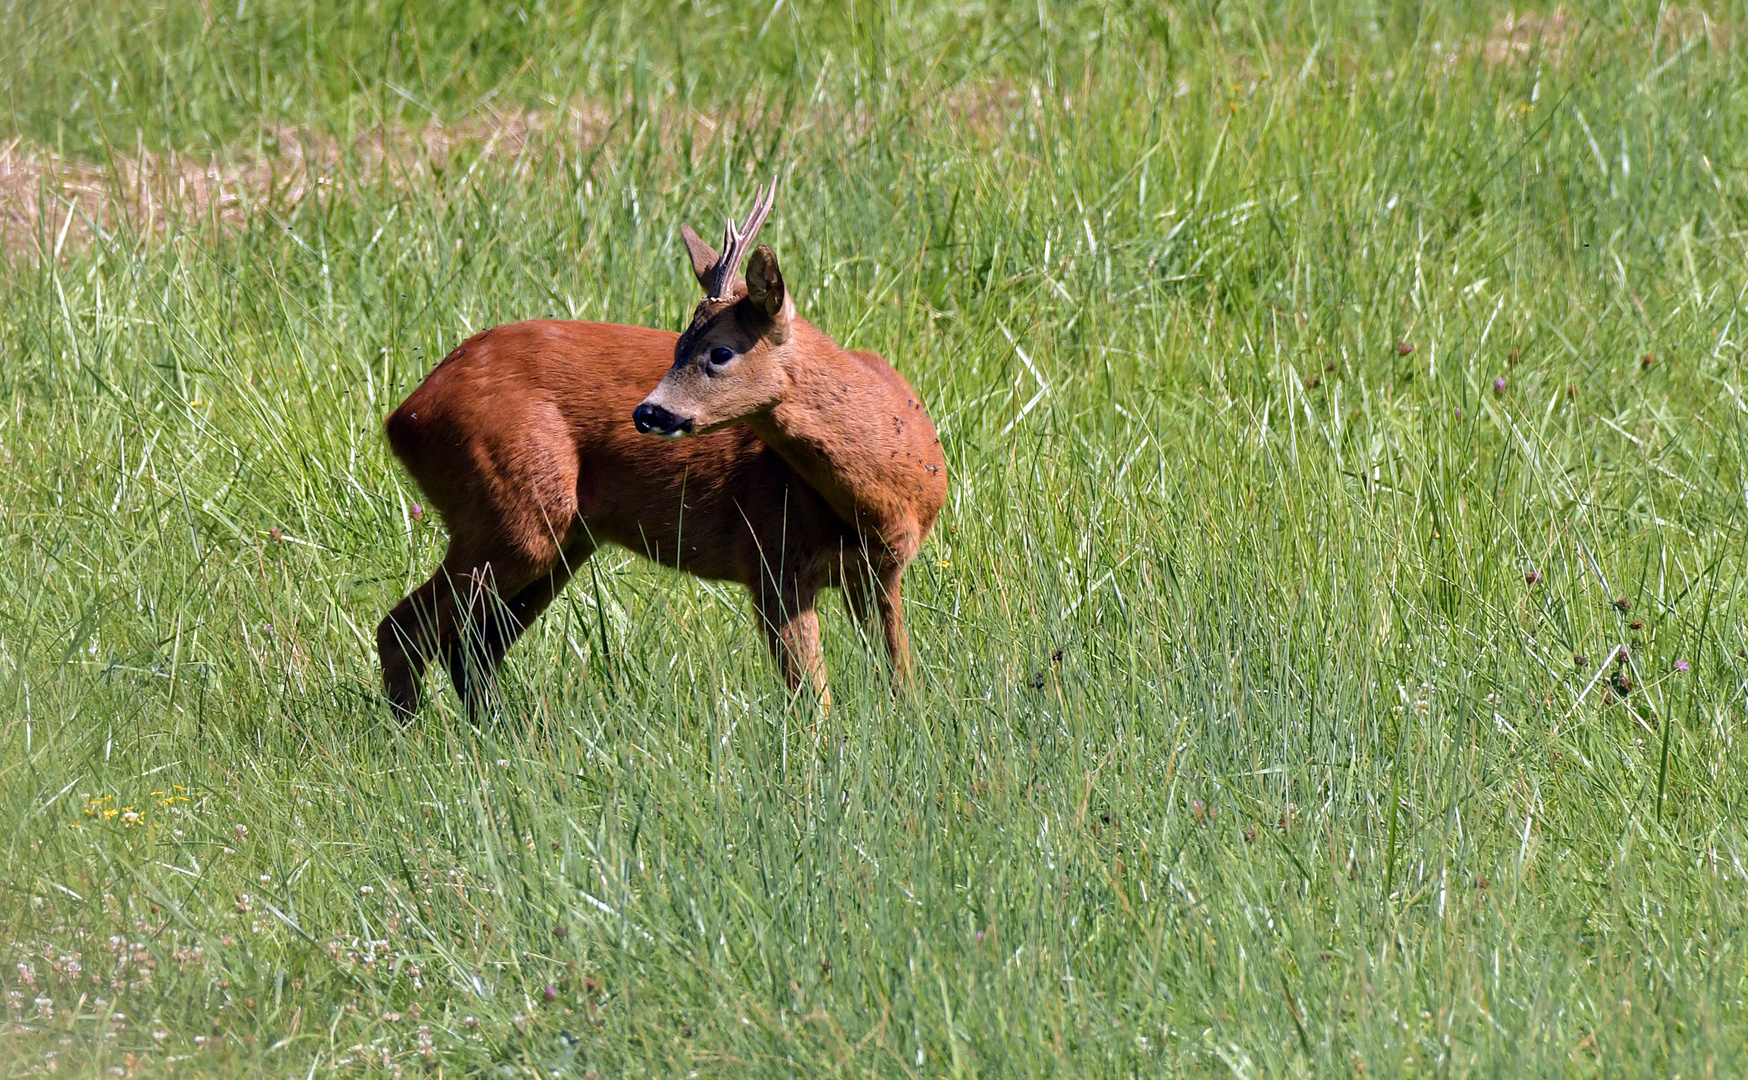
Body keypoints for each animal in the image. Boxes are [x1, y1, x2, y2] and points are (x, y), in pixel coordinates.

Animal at [377, 180, 950, 709]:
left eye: (719, 351)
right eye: (676, 344)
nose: (646, 412)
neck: (885, 491)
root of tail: (404, 415)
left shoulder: (881, 573)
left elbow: (900, 682)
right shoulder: (772, 559)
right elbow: (812, 701)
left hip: (561, 539)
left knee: (472, 648)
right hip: (509, 512)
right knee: (405, 629)